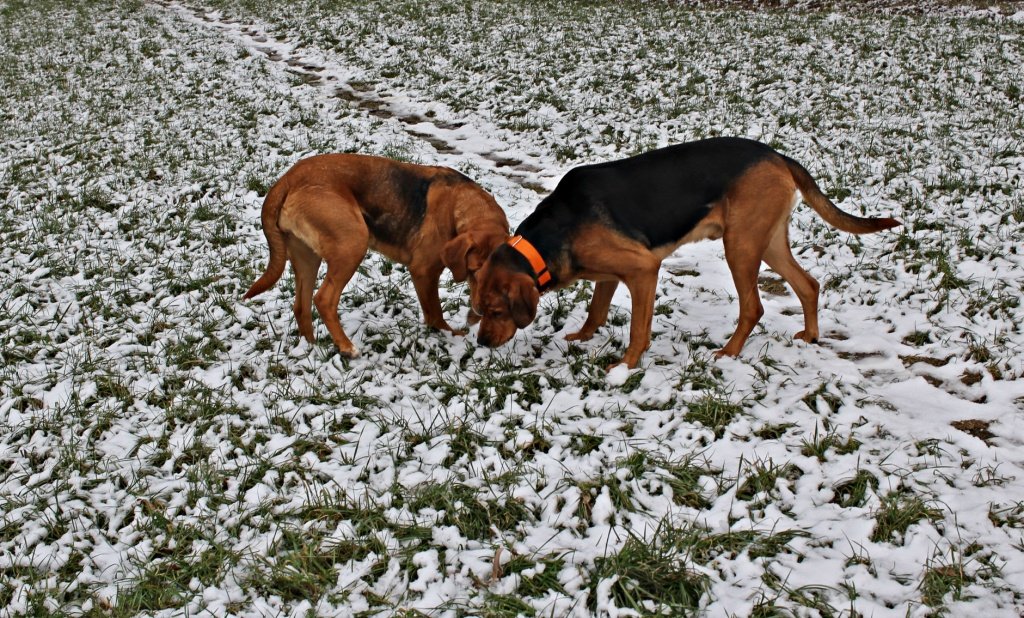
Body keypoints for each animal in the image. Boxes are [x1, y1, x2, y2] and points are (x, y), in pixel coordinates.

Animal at [243, 153, 507, 358]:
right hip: (353, 242)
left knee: (301, 306)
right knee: (324, 299)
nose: (479, 310)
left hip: (307, 258)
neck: (460, 207)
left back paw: (312, 348)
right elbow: (435, 313)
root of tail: (287, 179)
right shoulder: (424, 272)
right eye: (473, 272)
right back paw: (346, 347)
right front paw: (451, 335)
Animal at [468, 136, 901, 366]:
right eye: (478, 311)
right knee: (808, 284)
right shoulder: (609, 276)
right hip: (767, 241)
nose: (482, 343)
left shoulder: (643, 269)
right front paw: (582, 337)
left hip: (740, 246)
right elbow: (596, 311)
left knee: (753, 306)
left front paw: (625, 367)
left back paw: (729, 352)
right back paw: (810, 336)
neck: (548, 238)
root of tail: (777, 155)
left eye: (496, 311)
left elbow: (637, 330)